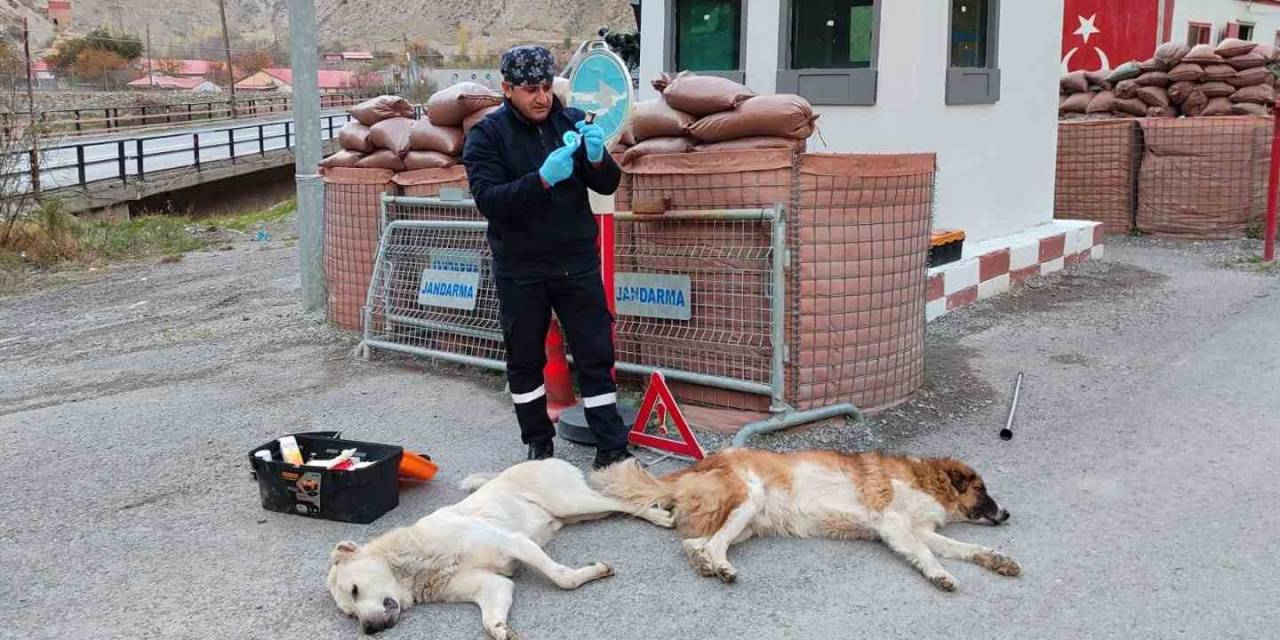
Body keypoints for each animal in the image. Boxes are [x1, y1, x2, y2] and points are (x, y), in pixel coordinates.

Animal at [325, 458, 675, 637]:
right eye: (349, 614)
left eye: (355, 590)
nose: (369, 629)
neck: (418, 562)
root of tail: (544, 457)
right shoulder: (493, 586)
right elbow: (490, 618)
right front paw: (500, 629)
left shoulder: (517, 543)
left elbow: (562, 578)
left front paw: (593, 571)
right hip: (578, 513)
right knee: (616, 505)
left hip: (574, 502)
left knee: (623, 501)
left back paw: (659, 513)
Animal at [588, 445, 1018, 588]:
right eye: (983, 490)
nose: (1007, 513)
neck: (927, 481)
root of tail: (700, 464)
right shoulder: (895, 525)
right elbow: (929, 555)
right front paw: (941, 576)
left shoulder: (922, 530)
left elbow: (961, 547)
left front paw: (996, 559)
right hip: (750, 499)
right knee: (712, 545)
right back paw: (721, 568)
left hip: (748, 525)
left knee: (697, 543)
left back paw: (705, 565)